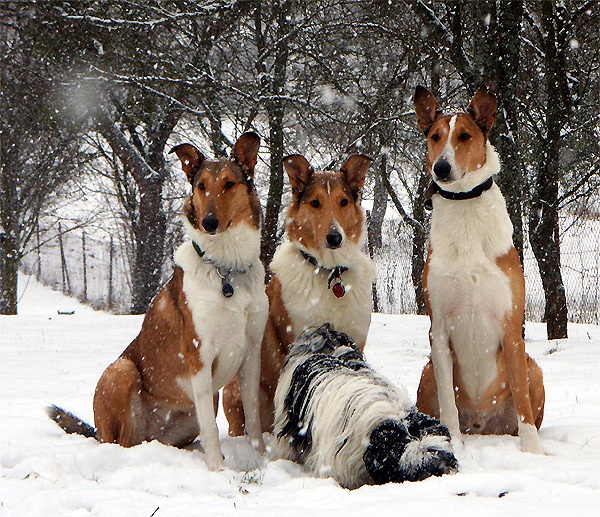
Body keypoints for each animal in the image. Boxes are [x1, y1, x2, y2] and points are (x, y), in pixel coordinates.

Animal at [48, 132, 268, 468]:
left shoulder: (251, 353)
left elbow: (253, 415)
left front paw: (260, 460)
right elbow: (213, 429)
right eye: (201, 186)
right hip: (121, 371)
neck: (227, 268)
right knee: (123, 442)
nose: (209, 222)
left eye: (229, 184)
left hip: (194, 410)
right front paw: (218, 470)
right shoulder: (199, 356)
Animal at [414, 86, 548, 454]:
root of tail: (481, 425)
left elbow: (522, 400)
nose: (441, 168)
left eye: (464, 136)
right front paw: (451, 442)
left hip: (534, 368)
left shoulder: (511, 324)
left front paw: (533, 452)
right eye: (435, 137)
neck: (465, 209)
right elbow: (447, 401)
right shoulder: (438, 328)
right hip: (427, 372)